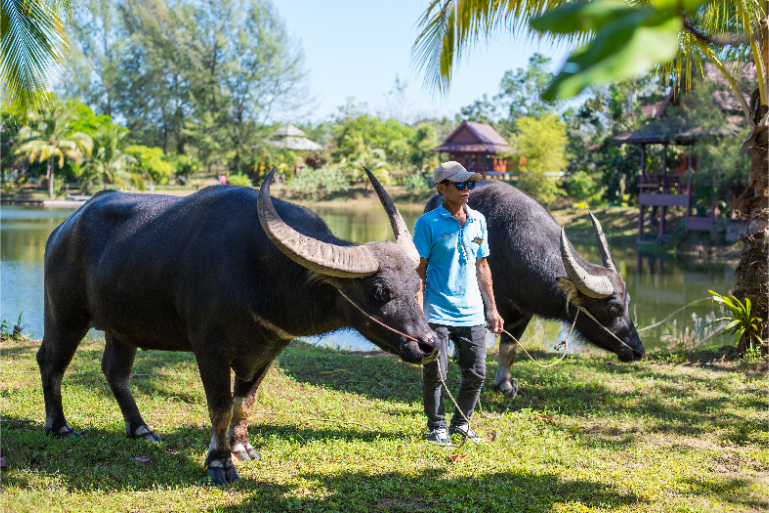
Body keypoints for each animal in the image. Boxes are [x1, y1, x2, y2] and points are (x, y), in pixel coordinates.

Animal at [38, 169, 438, 484]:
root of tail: (63, 229)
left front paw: (242, 447)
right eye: (380, 291)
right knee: (51, 362)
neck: (261, 268)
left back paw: (141, 429)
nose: (429, 344)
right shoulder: (208, 345)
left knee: (115, 371)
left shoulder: (269, 348)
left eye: (417, 285)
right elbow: (219, 405)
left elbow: (244, 402)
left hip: (122, 328)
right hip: (65, 314)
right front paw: (220, 463)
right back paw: (59, 427)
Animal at [425, 180, 644, 396]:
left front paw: (505, 383)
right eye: (614, 308)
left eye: (628, 303)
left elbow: (510, 347)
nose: (638, 350)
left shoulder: (524, 311)